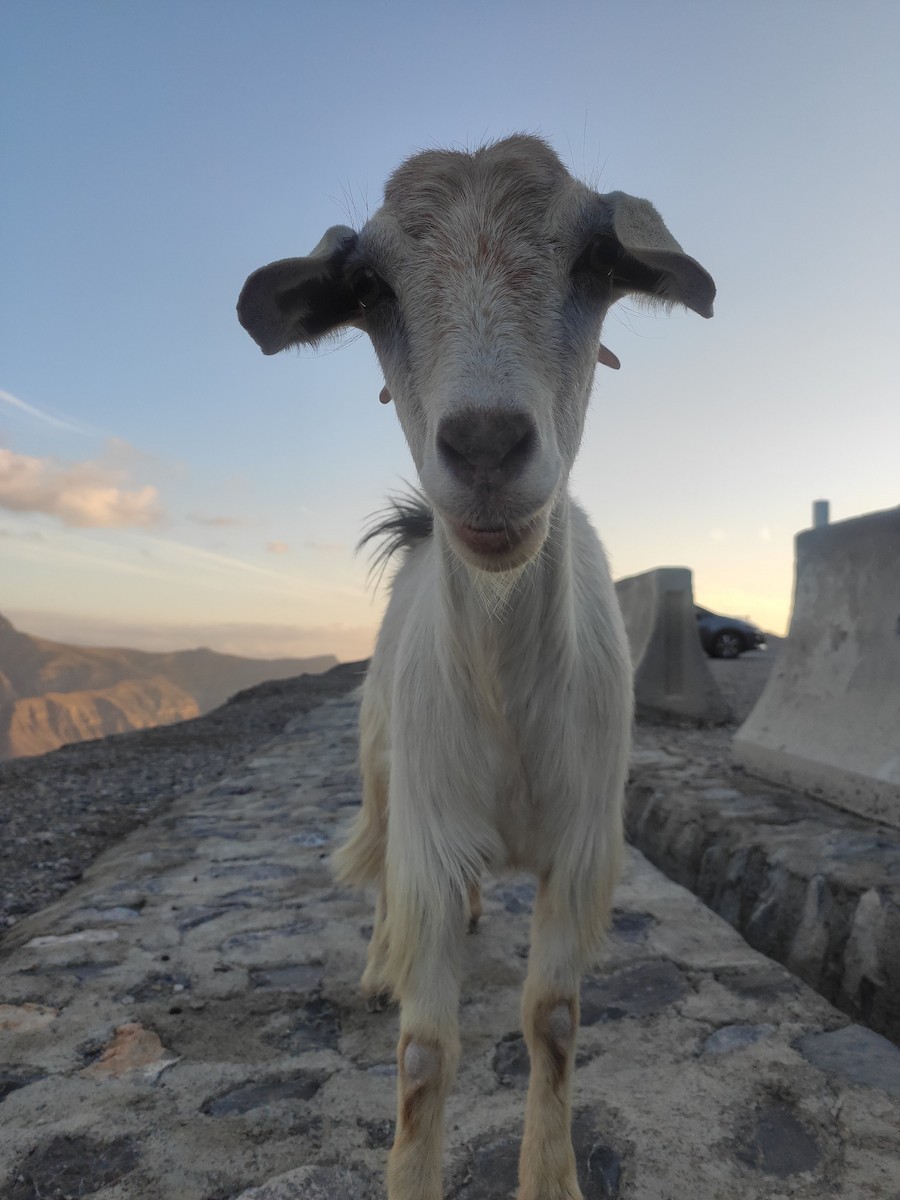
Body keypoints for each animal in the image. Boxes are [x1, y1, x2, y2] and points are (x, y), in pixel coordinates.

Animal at [238, 135, 714, 1200]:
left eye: (597, 263)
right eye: (369, 287)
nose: (487, 443)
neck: (506, 702)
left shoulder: (583, 844)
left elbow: (553, 1021)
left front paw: (551, 1176)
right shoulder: (427, 826)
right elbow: (424, 1053)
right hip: (387, 772)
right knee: (382, 866)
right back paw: (384, 960)